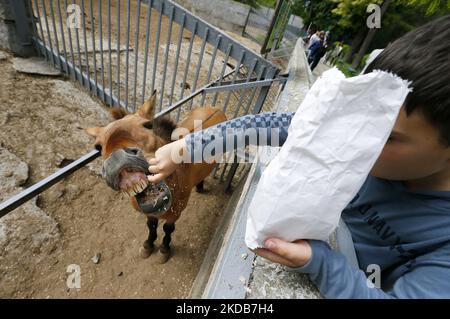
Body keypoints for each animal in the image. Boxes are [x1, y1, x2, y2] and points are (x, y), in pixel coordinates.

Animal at [86, 91, 227, 264]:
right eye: (98, 147)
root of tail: (215, 108)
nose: (116, 158)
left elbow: (168, 229)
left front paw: (164, 250)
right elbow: (151, 226)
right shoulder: (150, 213)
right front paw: (148, 245)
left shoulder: (175, 213)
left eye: (148, 125)